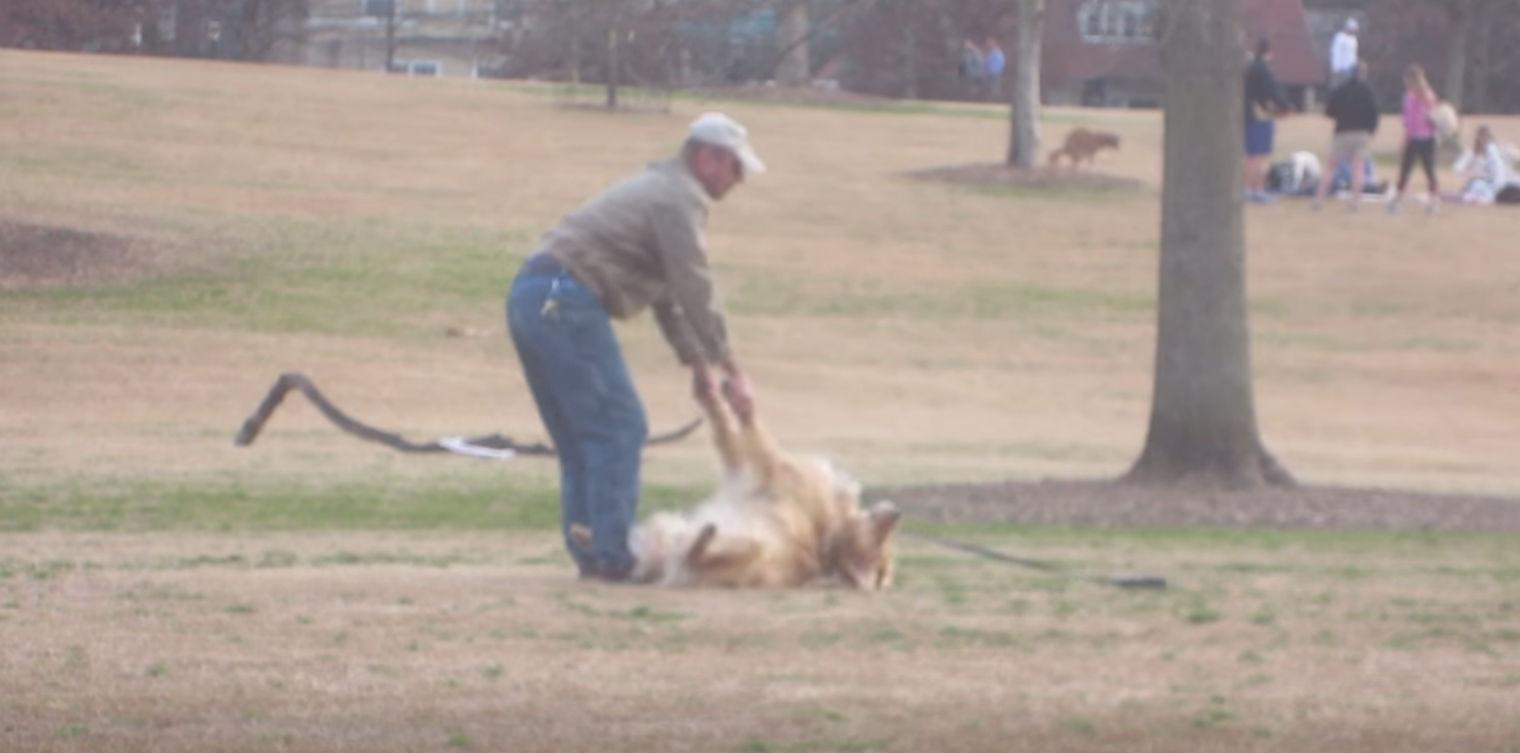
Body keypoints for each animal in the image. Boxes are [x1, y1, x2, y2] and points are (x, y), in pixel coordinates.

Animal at [574, 389, 893, 590]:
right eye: (883, 541)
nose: (897, 513)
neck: (829, 535)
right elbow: (730, 429)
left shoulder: (766, 467)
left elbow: (739, 427)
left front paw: (720, 397)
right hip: (667, 530)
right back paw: (583, 532)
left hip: (746, 546)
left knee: (691, 551)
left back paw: (702, 537)